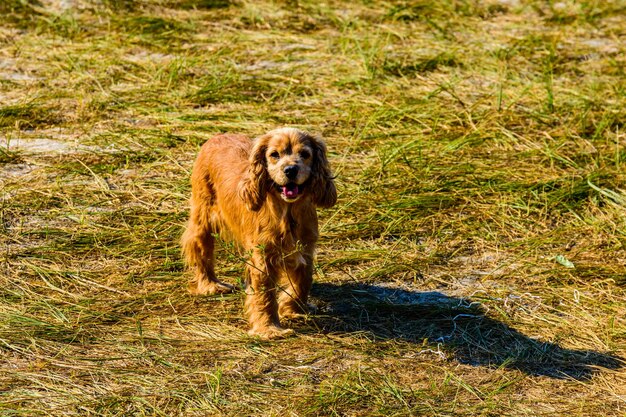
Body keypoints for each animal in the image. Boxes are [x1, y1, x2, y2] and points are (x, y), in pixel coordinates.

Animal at [180, 127, 336, 338]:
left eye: (304, 154)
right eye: (274, 155)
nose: (290, 170)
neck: (287, 211)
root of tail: (219, 135)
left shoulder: (305, 249)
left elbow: (303, 281)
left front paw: (293, 310)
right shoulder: (263, 256)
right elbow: (264, 293)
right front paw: (269, 328)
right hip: (203, 217)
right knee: (201, 251)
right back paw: (210, 285)